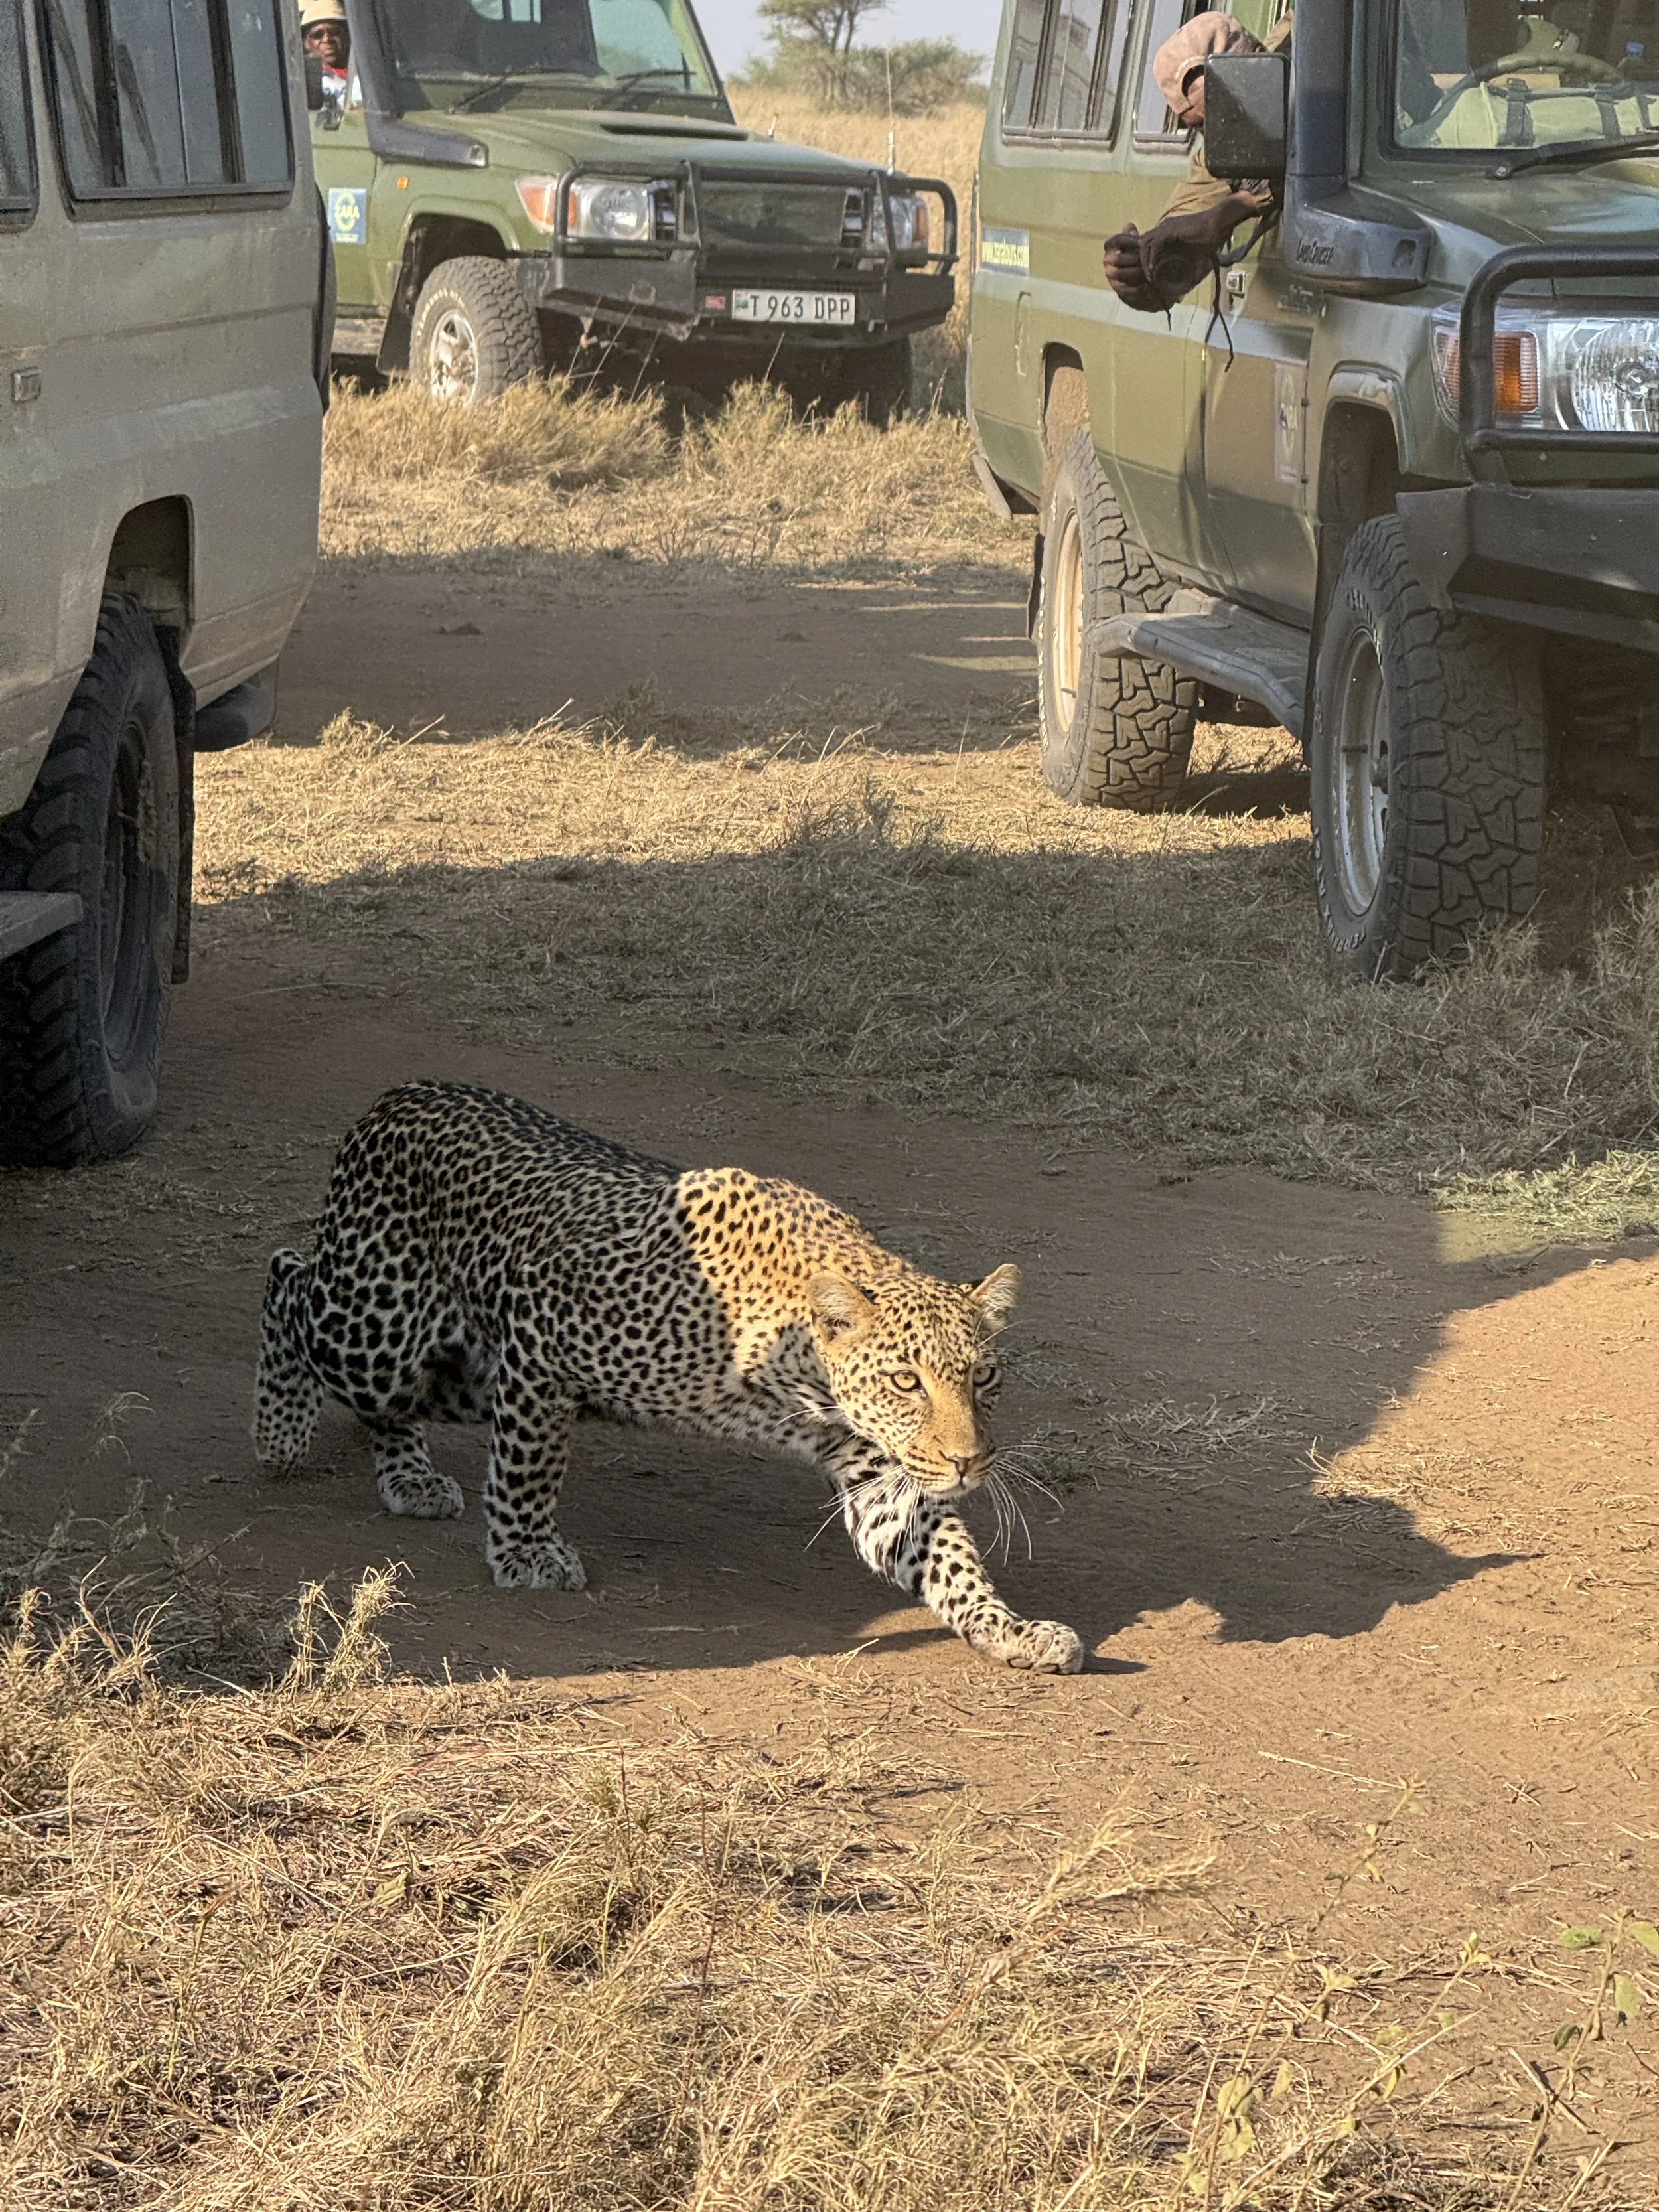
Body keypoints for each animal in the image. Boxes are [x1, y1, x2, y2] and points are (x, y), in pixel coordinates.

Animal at [253, 1081, 1084, 1674]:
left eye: (984, 1378)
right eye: (907, 1382)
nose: (969, 1462)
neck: (797, 1366)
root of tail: (401, 1094)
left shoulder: (878, 1468)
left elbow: (942, 1554)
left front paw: (1010, 1629)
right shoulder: (543, 1346)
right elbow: (529, 1469)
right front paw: (526, 1552)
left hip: (460, 1370)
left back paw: (408, 1476)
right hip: (377, 1335)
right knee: (288, 1277)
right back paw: (278, 1434)